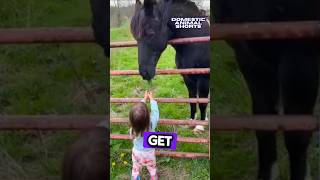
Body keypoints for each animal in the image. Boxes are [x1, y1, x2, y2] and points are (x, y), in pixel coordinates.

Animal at [130, 0, 210, 132]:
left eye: (151, 33)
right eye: (135, 36)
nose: (144, 72)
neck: (195, 43)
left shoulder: (204, 79)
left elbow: (203, 102)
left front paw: (200, 126)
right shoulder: (188, 77)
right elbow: (192, 99)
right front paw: (192, 121)